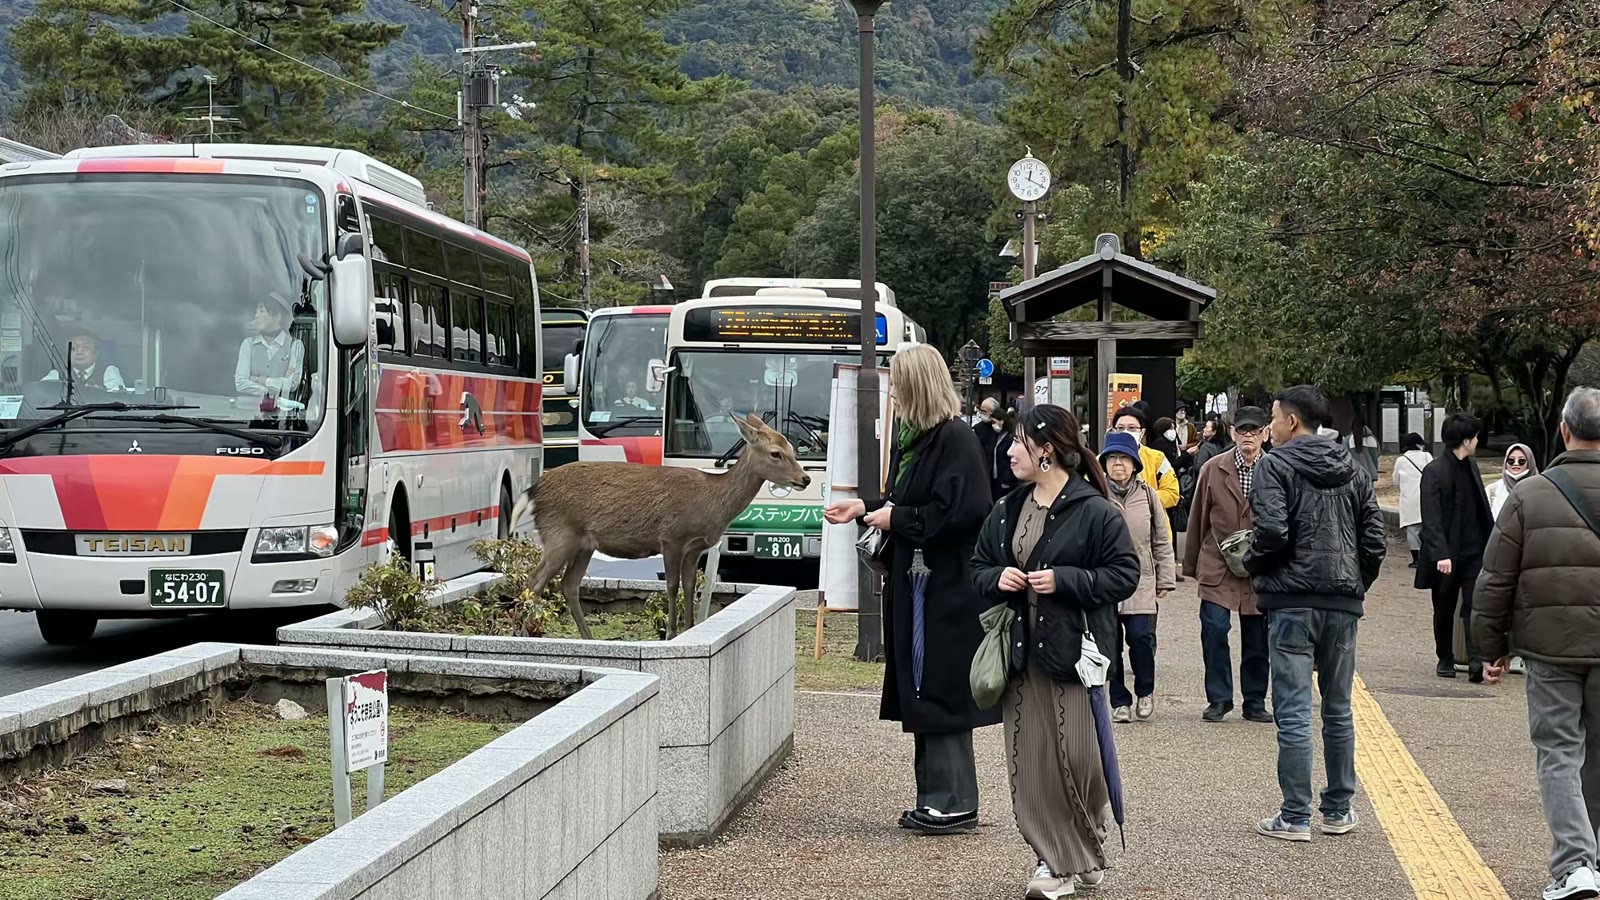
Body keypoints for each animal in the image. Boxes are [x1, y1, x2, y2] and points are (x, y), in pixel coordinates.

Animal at [510, 413, 810, 640]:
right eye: (775, 453)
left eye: (792, 449)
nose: (804, 479)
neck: (711, 503)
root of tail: (534, 490)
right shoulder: (671, 537)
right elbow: (672, 585)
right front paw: (671, 634)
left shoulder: (695, 548)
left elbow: (690, 585)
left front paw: (690, 629)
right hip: (559, 533)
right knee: (533, 581)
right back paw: (522, 635)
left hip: (583, 544)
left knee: (568, 585)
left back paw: (587, 638)